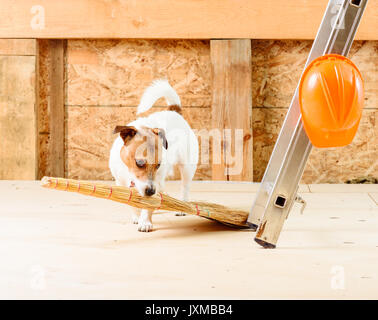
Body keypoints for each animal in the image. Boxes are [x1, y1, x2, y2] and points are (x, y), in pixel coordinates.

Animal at [108, 79, 199, 231]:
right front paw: (136, 216)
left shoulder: (156, 181)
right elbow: (131, 202)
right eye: (139, 163)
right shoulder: (121, 183)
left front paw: (145, 221)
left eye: (158, 165)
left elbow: (147, 205)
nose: (151, 191)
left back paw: (182, 206)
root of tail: (174, 112)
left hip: (187, 166)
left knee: (185, 186)